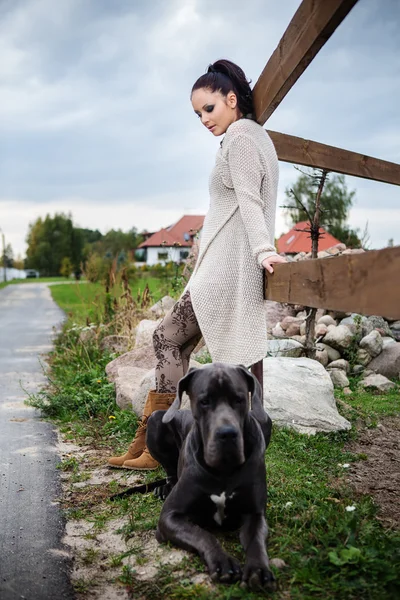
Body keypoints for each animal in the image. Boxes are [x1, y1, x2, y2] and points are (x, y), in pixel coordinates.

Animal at [147, 360, 276, 592]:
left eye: (239, 399)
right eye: (204, 401)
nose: (227, 434)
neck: (223, 470)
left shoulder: (255, 513)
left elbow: (256, 540)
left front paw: (259, 570)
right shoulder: (169, 517)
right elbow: (203, 534)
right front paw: (223, 562)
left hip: (266, 421)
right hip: (155, 420)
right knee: (169, 471)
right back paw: (164, 488)